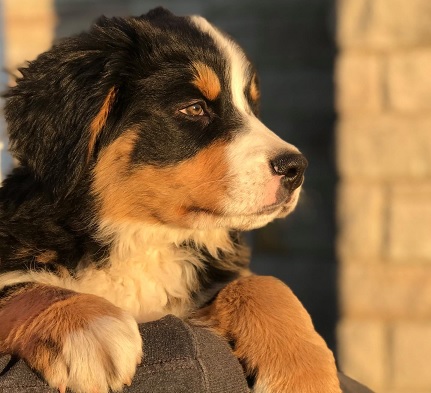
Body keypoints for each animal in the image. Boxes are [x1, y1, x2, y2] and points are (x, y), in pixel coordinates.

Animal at [0, 6, 342, 392]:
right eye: (194, 108)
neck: (145, 237)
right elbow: (24, 288)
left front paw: (304, 371)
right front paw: (88, 329)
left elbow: (264, 283)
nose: (295, 167)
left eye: (253, 108)